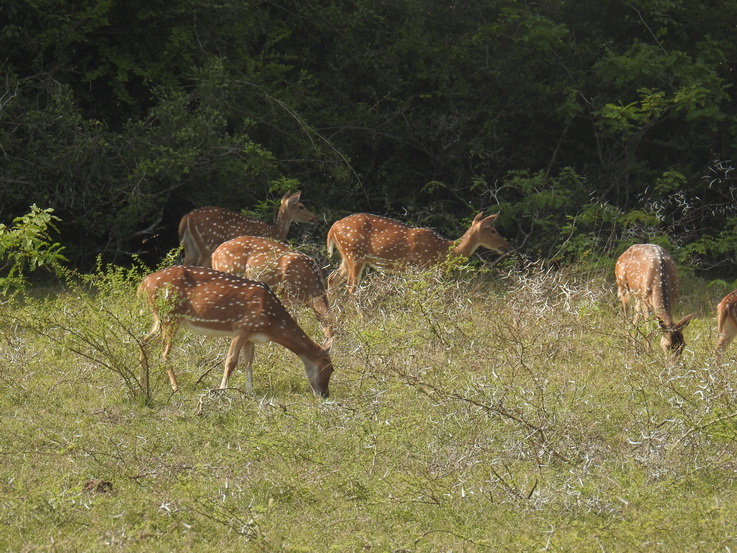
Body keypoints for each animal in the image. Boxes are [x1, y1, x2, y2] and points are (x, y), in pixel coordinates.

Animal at [138, 264, 334, 396]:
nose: (325, 394)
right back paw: (175, 387)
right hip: (170, 315)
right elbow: (231, 360)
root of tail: (143, 283)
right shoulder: (242, 327)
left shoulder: (251, 335)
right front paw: (222, 390)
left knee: (144, 341)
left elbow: (248, 362)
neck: (272, 324)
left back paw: (142, 382)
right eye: (330, 368)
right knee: (164, 352)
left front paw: (250, 391)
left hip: (161, 318)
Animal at [180, 191, 316, 266]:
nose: (314, 217)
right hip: (209, 243)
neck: (275, 232)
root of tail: (188, 217)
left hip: (189, 246)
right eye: (301, 206)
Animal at [324, 210, 508, 294]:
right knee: (351, 288)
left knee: (331, 279)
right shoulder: (419, 267)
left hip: (346, 256)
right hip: (355, 254)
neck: (443, 250)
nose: (506, 245)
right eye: (493, 230)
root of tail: (333, 228)